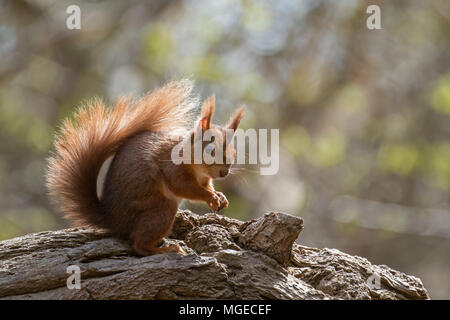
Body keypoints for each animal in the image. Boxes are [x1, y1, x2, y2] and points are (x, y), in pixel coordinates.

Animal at [46, 80, 243, 255]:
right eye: (210, 150)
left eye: (234, 151)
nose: (224, 172)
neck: (197, 167)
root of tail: (111, 220)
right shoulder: (173, 167)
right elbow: (183, 186)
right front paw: (210, 197)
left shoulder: (205, 178)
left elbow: (207, 186)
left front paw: (220, 196)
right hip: (160, 209)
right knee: (139, 245)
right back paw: (167, 249)